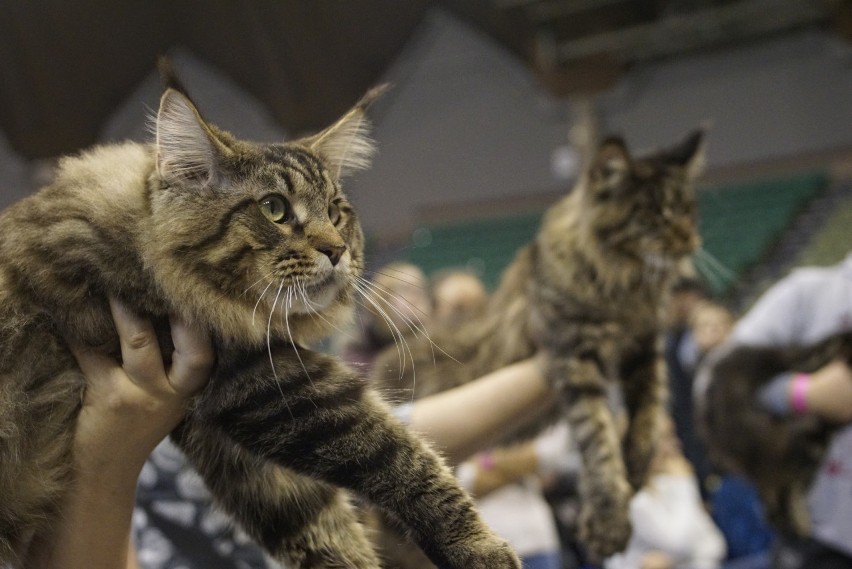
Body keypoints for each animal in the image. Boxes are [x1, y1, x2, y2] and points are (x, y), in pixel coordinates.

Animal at [0, 69, 520, 568]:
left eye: (336, 211)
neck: (141, 237)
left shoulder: (224, 428)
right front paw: (478, 547)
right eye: (274, 209)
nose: (338, 250)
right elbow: (398, 457)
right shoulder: (261, 382)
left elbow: (316, 525)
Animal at [372, 131, 704, 560]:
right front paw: (609, 522)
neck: (626, 286)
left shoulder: (646, 349)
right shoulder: (575, 357)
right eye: (658, 215)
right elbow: (598, 440)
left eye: (689, 211)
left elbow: (647, 415)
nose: (692, 240)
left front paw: (635, 468)